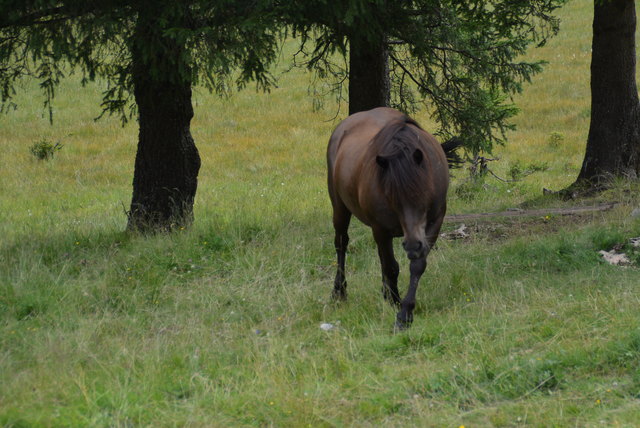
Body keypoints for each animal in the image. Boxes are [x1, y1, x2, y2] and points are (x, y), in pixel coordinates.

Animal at [327, 107, 461, 330]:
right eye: (391, 196)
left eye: (423, 192)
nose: (413, 245)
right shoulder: (381, 229)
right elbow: (391, 267)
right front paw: (397, 303)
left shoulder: (434, 223)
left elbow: (416, 265)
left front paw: (405, 310)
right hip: (339, 207)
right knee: (341, 244)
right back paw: (340, 292)